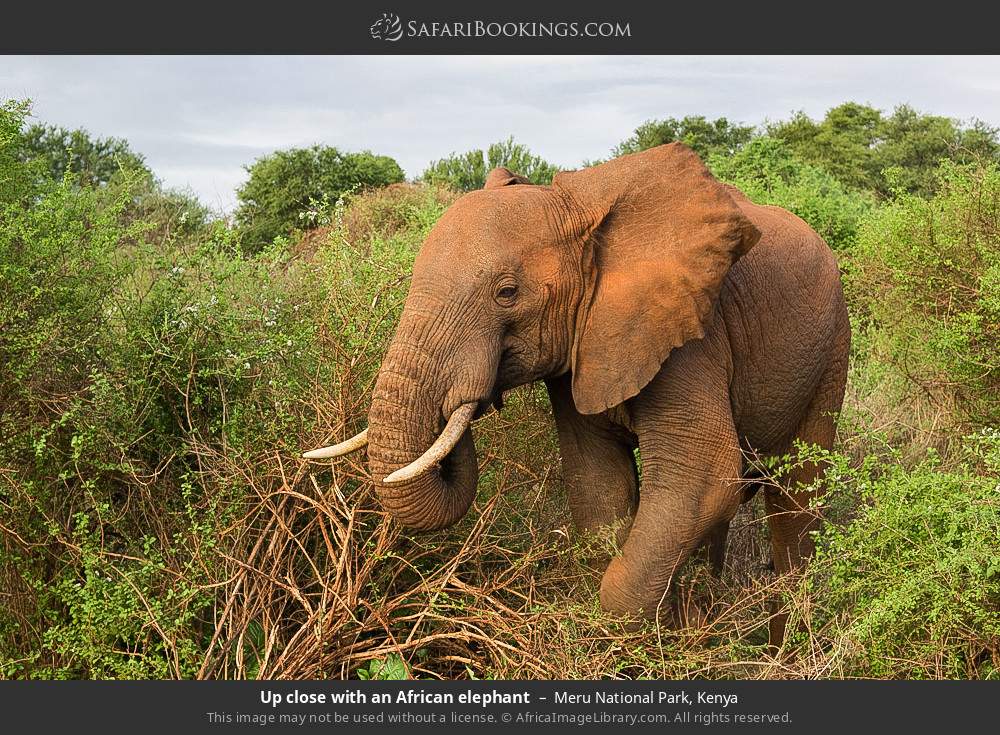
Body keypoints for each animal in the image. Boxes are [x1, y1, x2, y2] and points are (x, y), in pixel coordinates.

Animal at [305, 143, 850, 640]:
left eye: (507, 293)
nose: (468, 400)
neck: (574, 208)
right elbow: (598, 486)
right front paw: (673, 632)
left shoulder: (690, 332)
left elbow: (703, 477)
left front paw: (655, 637)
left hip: (831, 350)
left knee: (797, 500)